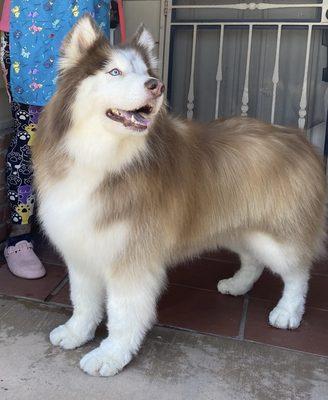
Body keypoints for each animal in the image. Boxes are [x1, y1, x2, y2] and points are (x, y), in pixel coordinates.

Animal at [32, 15, 326, 376]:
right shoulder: (83, 247)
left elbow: (122, 314)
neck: (103, 158)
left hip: (277, 233)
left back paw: (288, 312)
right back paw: (237, 285)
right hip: (237, 226)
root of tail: (299, 137)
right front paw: (76, 332)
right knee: (253, 259)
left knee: (298, 271)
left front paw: (110, 355)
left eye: (147, 72)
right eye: (114, 72)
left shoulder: (132, 256)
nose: (155, 86)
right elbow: (83, 301)